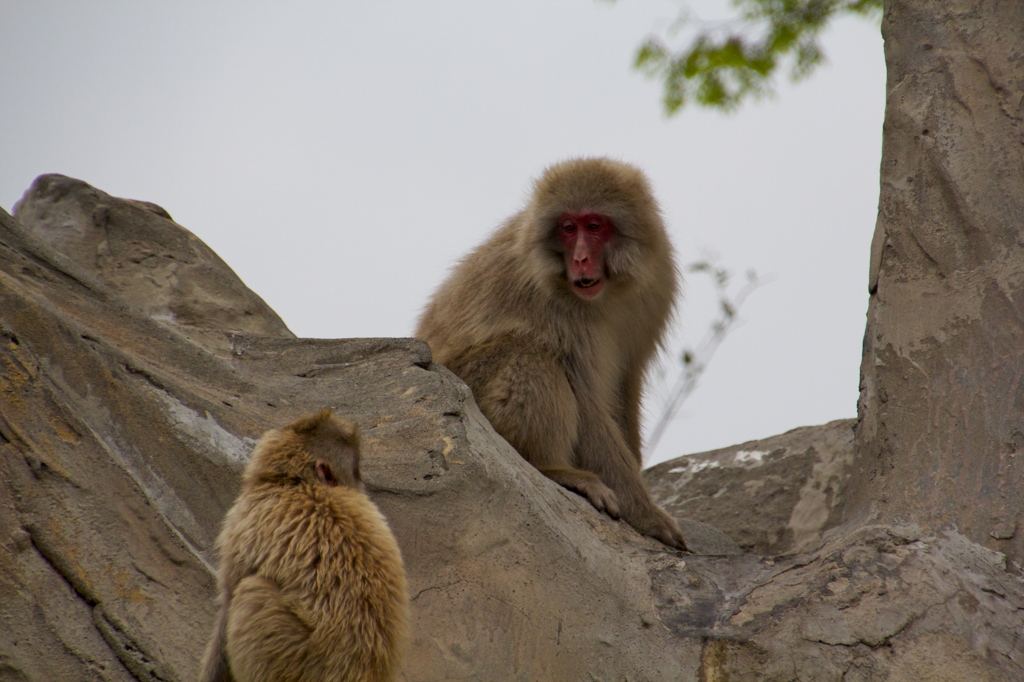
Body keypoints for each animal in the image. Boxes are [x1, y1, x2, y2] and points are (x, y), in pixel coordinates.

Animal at [199, 409, 407, 679]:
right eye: (357, 472)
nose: (363, 487)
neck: (298, 482)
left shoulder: (245, 523)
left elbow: (226, 604)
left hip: (294, 659)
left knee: (250, 593)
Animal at [415, 155, 688, 548]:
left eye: (594, 225)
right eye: (568, 228)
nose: (581, 259)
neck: (608, 294)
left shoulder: (656, 282)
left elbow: (626, 380)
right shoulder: (550, 304)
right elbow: (585, 397)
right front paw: (647, 515)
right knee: (529, 355)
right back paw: (553, 468)